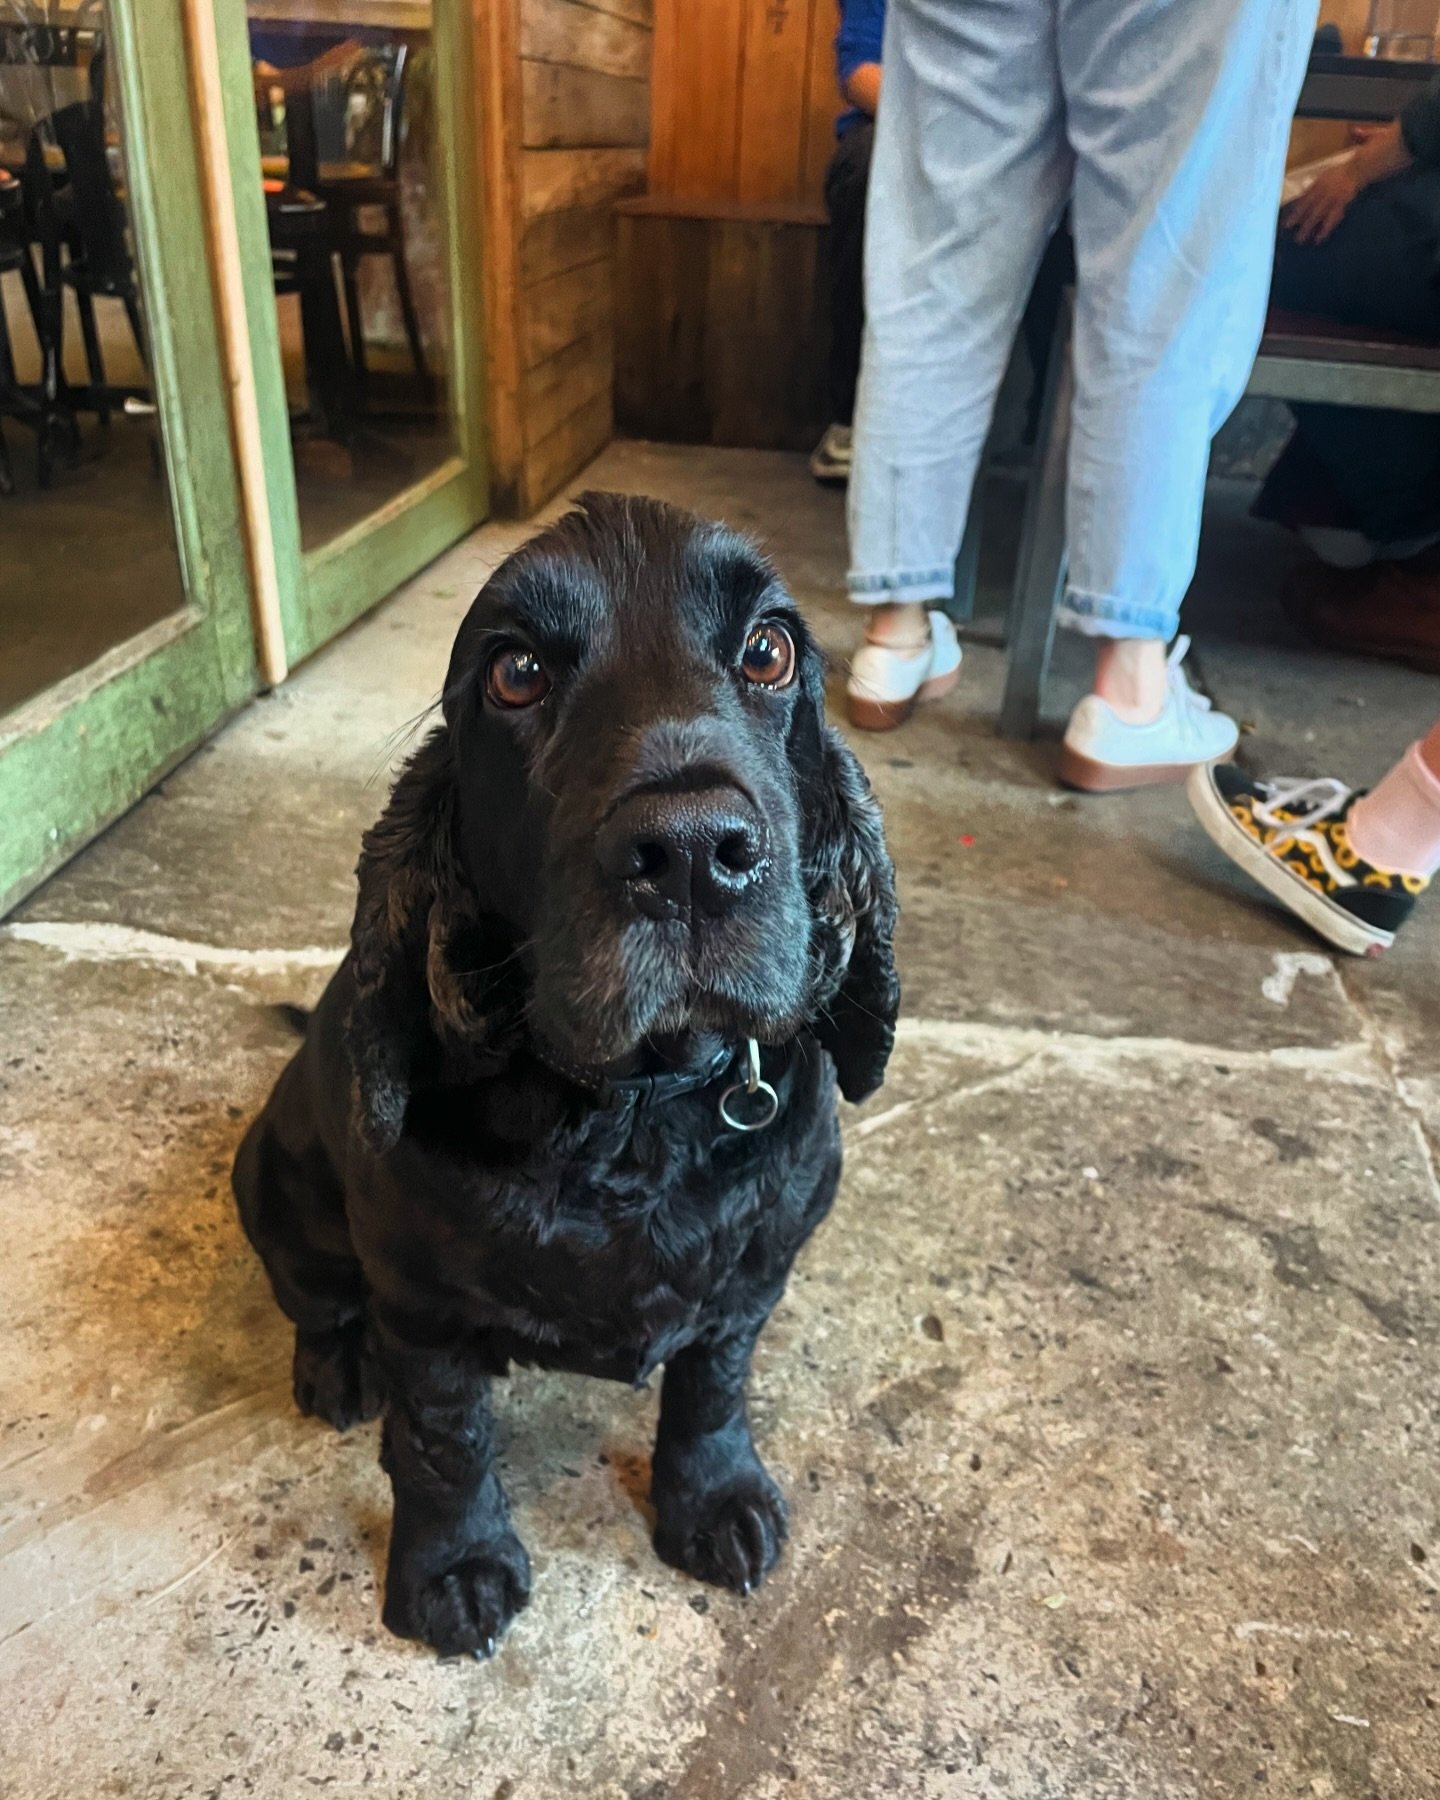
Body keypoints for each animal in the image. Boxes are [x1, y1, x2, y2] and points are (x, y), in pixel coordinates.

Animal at [230, 493, 892, 1656]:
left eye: (767, 651)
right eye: (517, 672)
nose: (690, 853)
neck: (630, 1114)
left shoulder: (755, 1274)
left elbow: (713, 1389)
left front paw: (712, 1501)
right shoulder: (420, 1305)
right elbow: (444, 1442)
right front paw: (452, 1567)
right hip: (274, 1182)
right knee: (312, 1297)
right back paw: (338, 1367)